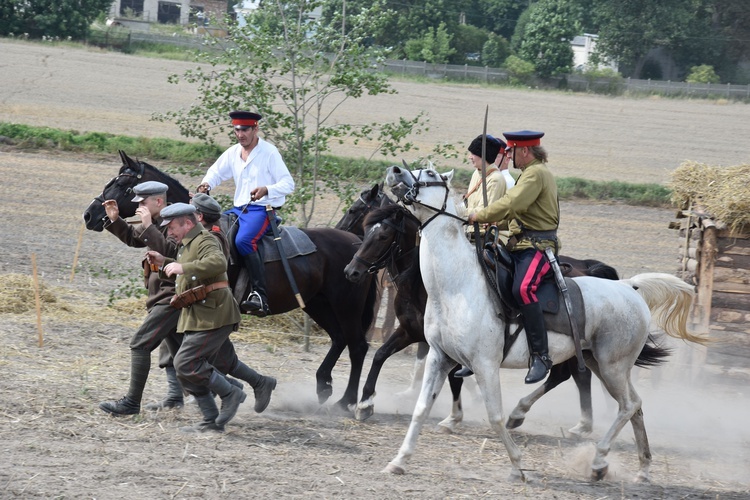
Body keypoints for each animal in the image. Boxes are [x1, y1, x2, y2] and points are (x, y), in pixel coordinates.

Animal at [82, 150, 378, 408]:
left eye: (123, 184)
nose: (89, 214)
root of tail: (356, 244)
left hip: (346, 306)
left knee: (357, 347)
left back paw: (347, 401)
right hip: (318, 303)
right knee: (339, 339)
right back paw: (323, 385)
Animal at [342, 188, 624, 438]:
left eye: (383, 236)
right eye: (367, 226)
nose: (351, 271)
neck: (428, 279)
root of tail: (585, 266)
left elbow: (453, 377)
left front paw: (454, 417)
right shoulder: (410, 331)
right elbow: (380, 355)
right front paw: (365, 403)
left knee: (569, 375)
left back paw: (552, 418)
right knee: (573, 375)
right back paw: (567, 421)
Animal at [384, 166, 708, 482]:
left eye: (430, 173)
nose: (395, 171)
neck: (458, 286)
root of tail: (629, 287)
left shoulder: (485, 364)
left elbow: (495, 416)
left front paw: (517, 466)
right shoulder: (440, 357)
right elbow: (421, 408)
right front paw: (399, 461)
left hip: (612, 367)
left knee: (627, 405)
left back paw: (598, 460)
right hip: (599, 363)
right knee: (635, 406)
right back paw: (641, 469)